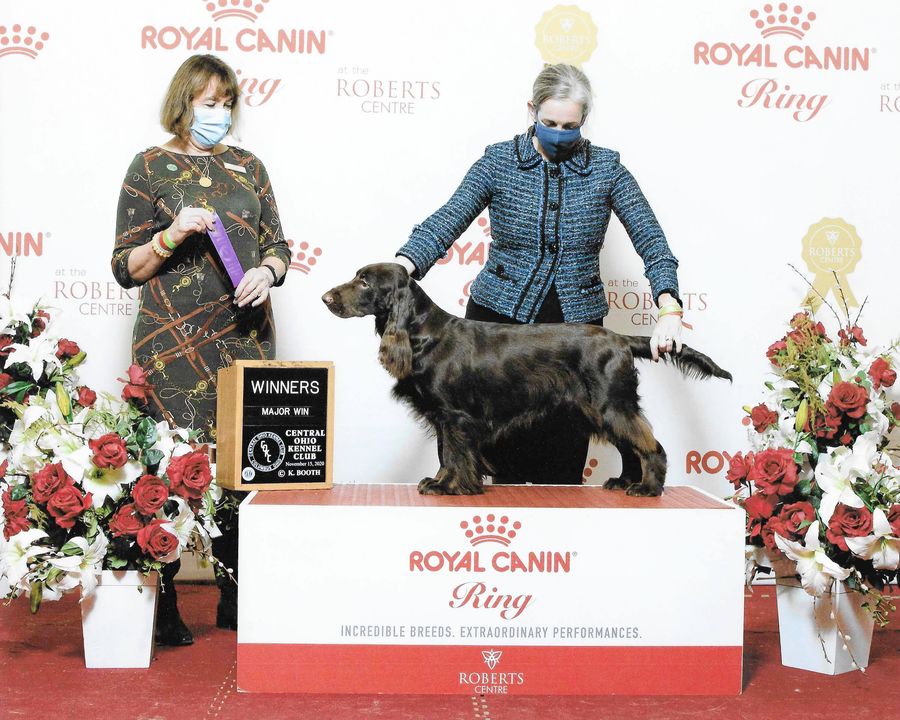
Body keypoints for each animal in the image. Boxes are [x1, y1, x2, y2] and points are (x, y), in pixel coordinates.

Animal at [324, 262, 732, 496]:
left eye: (364, 282)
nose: (326, 297)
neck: (422, 332)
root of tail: (620, 339)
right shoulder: (443, 416)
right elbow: (446, 454)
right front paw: (441, 481)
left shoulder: (456, 415)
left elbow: (455, 454)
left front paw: (450, 486)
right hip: (600, 410)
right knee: (629, 445)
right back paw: (625, 482)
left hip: (611, 404)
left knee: (650, 445)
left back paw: (648, 488)